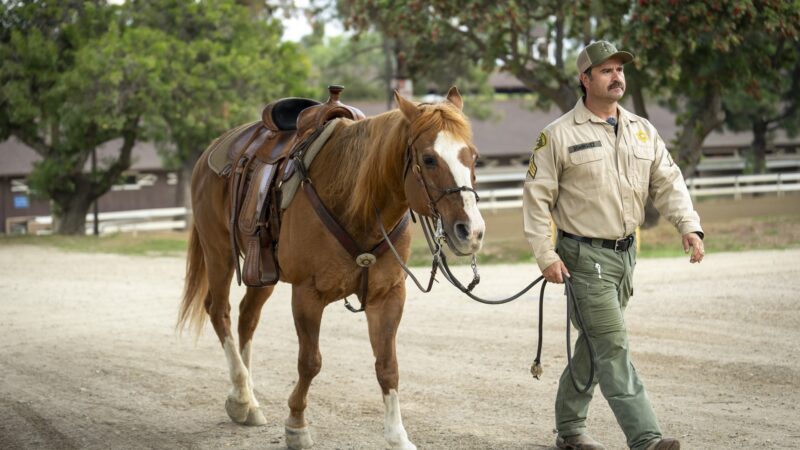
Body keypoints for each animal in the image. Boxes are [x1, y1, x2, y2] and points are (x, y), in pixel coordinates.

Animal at [177, 88, 485, 450]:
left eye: (474, 157)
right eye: (429, 159)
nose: (471, 231)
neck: (356, 203)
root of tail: (211, 151)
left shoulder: (388, 295)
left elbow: (387, 365)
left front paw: (397, 436)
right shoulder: (308, 294)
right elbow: (310, 362)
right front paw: (296, 425)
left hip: (261, 270)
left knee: (247, 318)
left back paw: (249, 401)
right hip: (220, 252)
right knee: (219, 311)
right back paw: (240, 396)